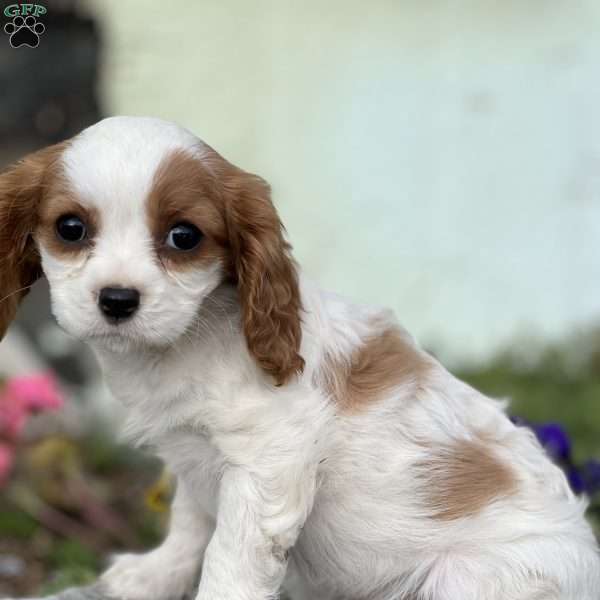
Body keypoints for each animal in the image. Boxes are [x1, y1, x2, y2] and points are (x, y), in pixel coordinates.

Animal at [1, 115, 600, 596]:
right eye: (71, 228)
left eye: (184, 236)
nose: (118, 300)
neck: (190, 340)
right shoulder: (196, 457)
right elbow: (190, 522)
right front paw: (150, 577)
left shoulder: (267, 463)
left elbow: (229, 554)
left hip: (468, 580)